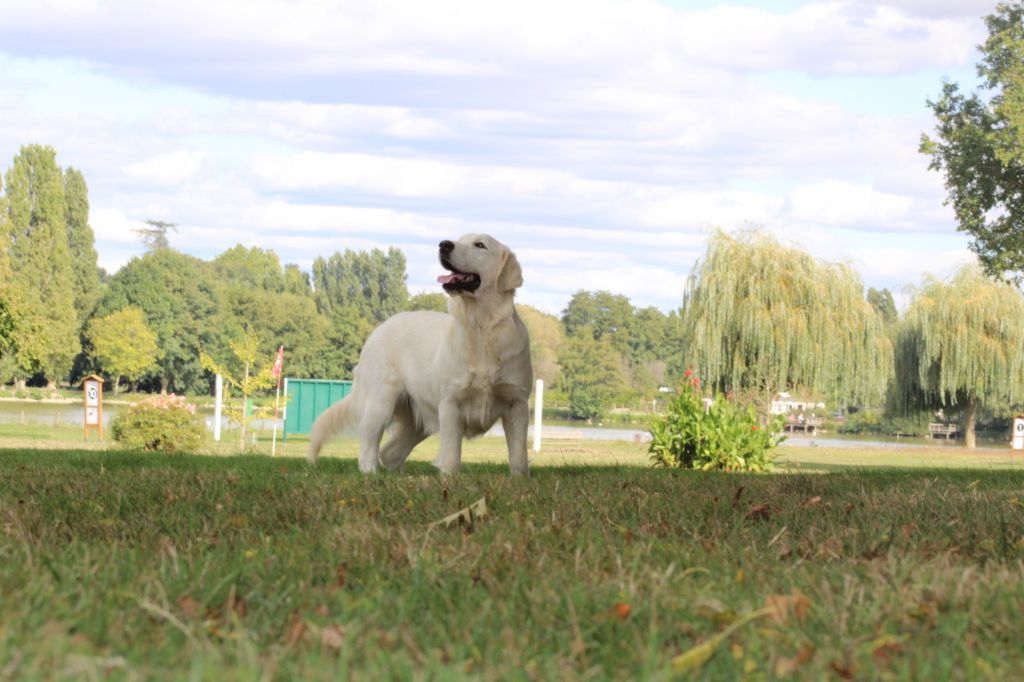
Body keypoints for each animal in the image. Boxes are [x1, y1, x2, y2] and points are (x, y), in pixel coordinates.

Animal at [305, 233, 532, 473]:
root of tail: (379, 328)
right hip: (380, 402)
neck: (481, 328)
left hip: (417, 421)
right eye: (460, 239)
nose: (444, 244)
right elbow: (451, 452)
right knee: (369, 441)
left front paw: (519, 477)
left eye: (480, 245)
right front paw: (449, 475)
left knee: (390, 452)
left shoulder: (517, 403)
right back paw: (370, 472)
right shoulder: (450, 402)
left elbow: (519, 453)